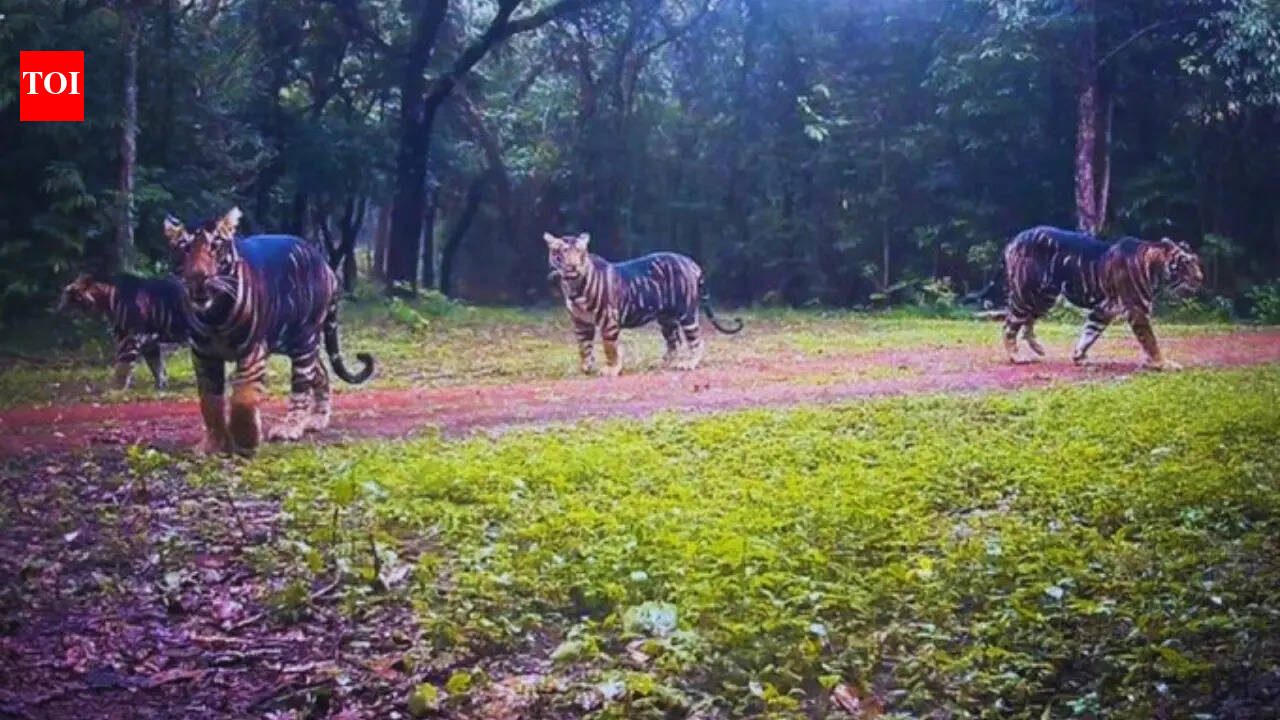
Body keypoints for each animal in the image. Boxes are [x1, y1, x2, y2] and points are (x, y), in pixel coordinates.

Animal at [57, 272, 190, 390]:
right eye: (63, 296)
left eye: (71, 297)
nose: (59, 310)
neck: (105, 300)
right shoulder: (150, 341)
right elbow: (157, 366)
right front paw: (161, 387)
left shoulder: (129, 337)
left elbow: (123, 365)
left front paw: (116, 389)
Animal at [164, 207, 374, 456]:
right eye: (185, 248)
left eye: (215, 245)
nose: (198, 277)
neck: (214, 315)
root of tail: (326, 266)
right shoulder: (203, 355)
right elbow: (210, 402)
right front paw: (213, 444)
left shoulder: (252, 351)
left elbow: (243, 398)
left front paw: (246, 440)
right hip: (291, 341)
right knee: (320, 371)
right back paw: (317, 419)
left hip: (304, 341)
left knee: (302, 386)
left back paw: (291, 428)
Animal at [544, 231, 743, 376]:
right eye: (562, 252)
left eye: (579, 252)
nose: (572, 266)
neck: (573, 285)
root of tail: (690, 262)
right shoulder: (581, 322)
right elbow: (584, 347)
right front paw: (586, 367)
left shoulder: (608, 320)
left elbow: (610, 348)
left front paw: (611, 369)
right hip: (666, 319)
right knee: (674, 341)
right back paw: (662, 363)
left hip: (686, 314)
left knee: (696, 340)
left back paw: (688, 364)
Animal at [1000, 225, 1203, 370]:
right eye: (1186, 263)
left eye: (1195, 261)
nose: (1200, 278)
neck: (1155, 270)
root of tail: (1014, 241)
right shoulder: (1137, 309)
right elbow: (1150, 340)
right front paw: (1162, 363)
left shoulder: (1103, 311)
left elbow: (1089, 334)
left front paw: (1079, 358)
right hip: (1027, 294)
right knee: (1009, 325)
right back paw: (1016, 357)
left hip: (1044, 298)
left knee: (1027, 322)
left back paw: (1038, 349)